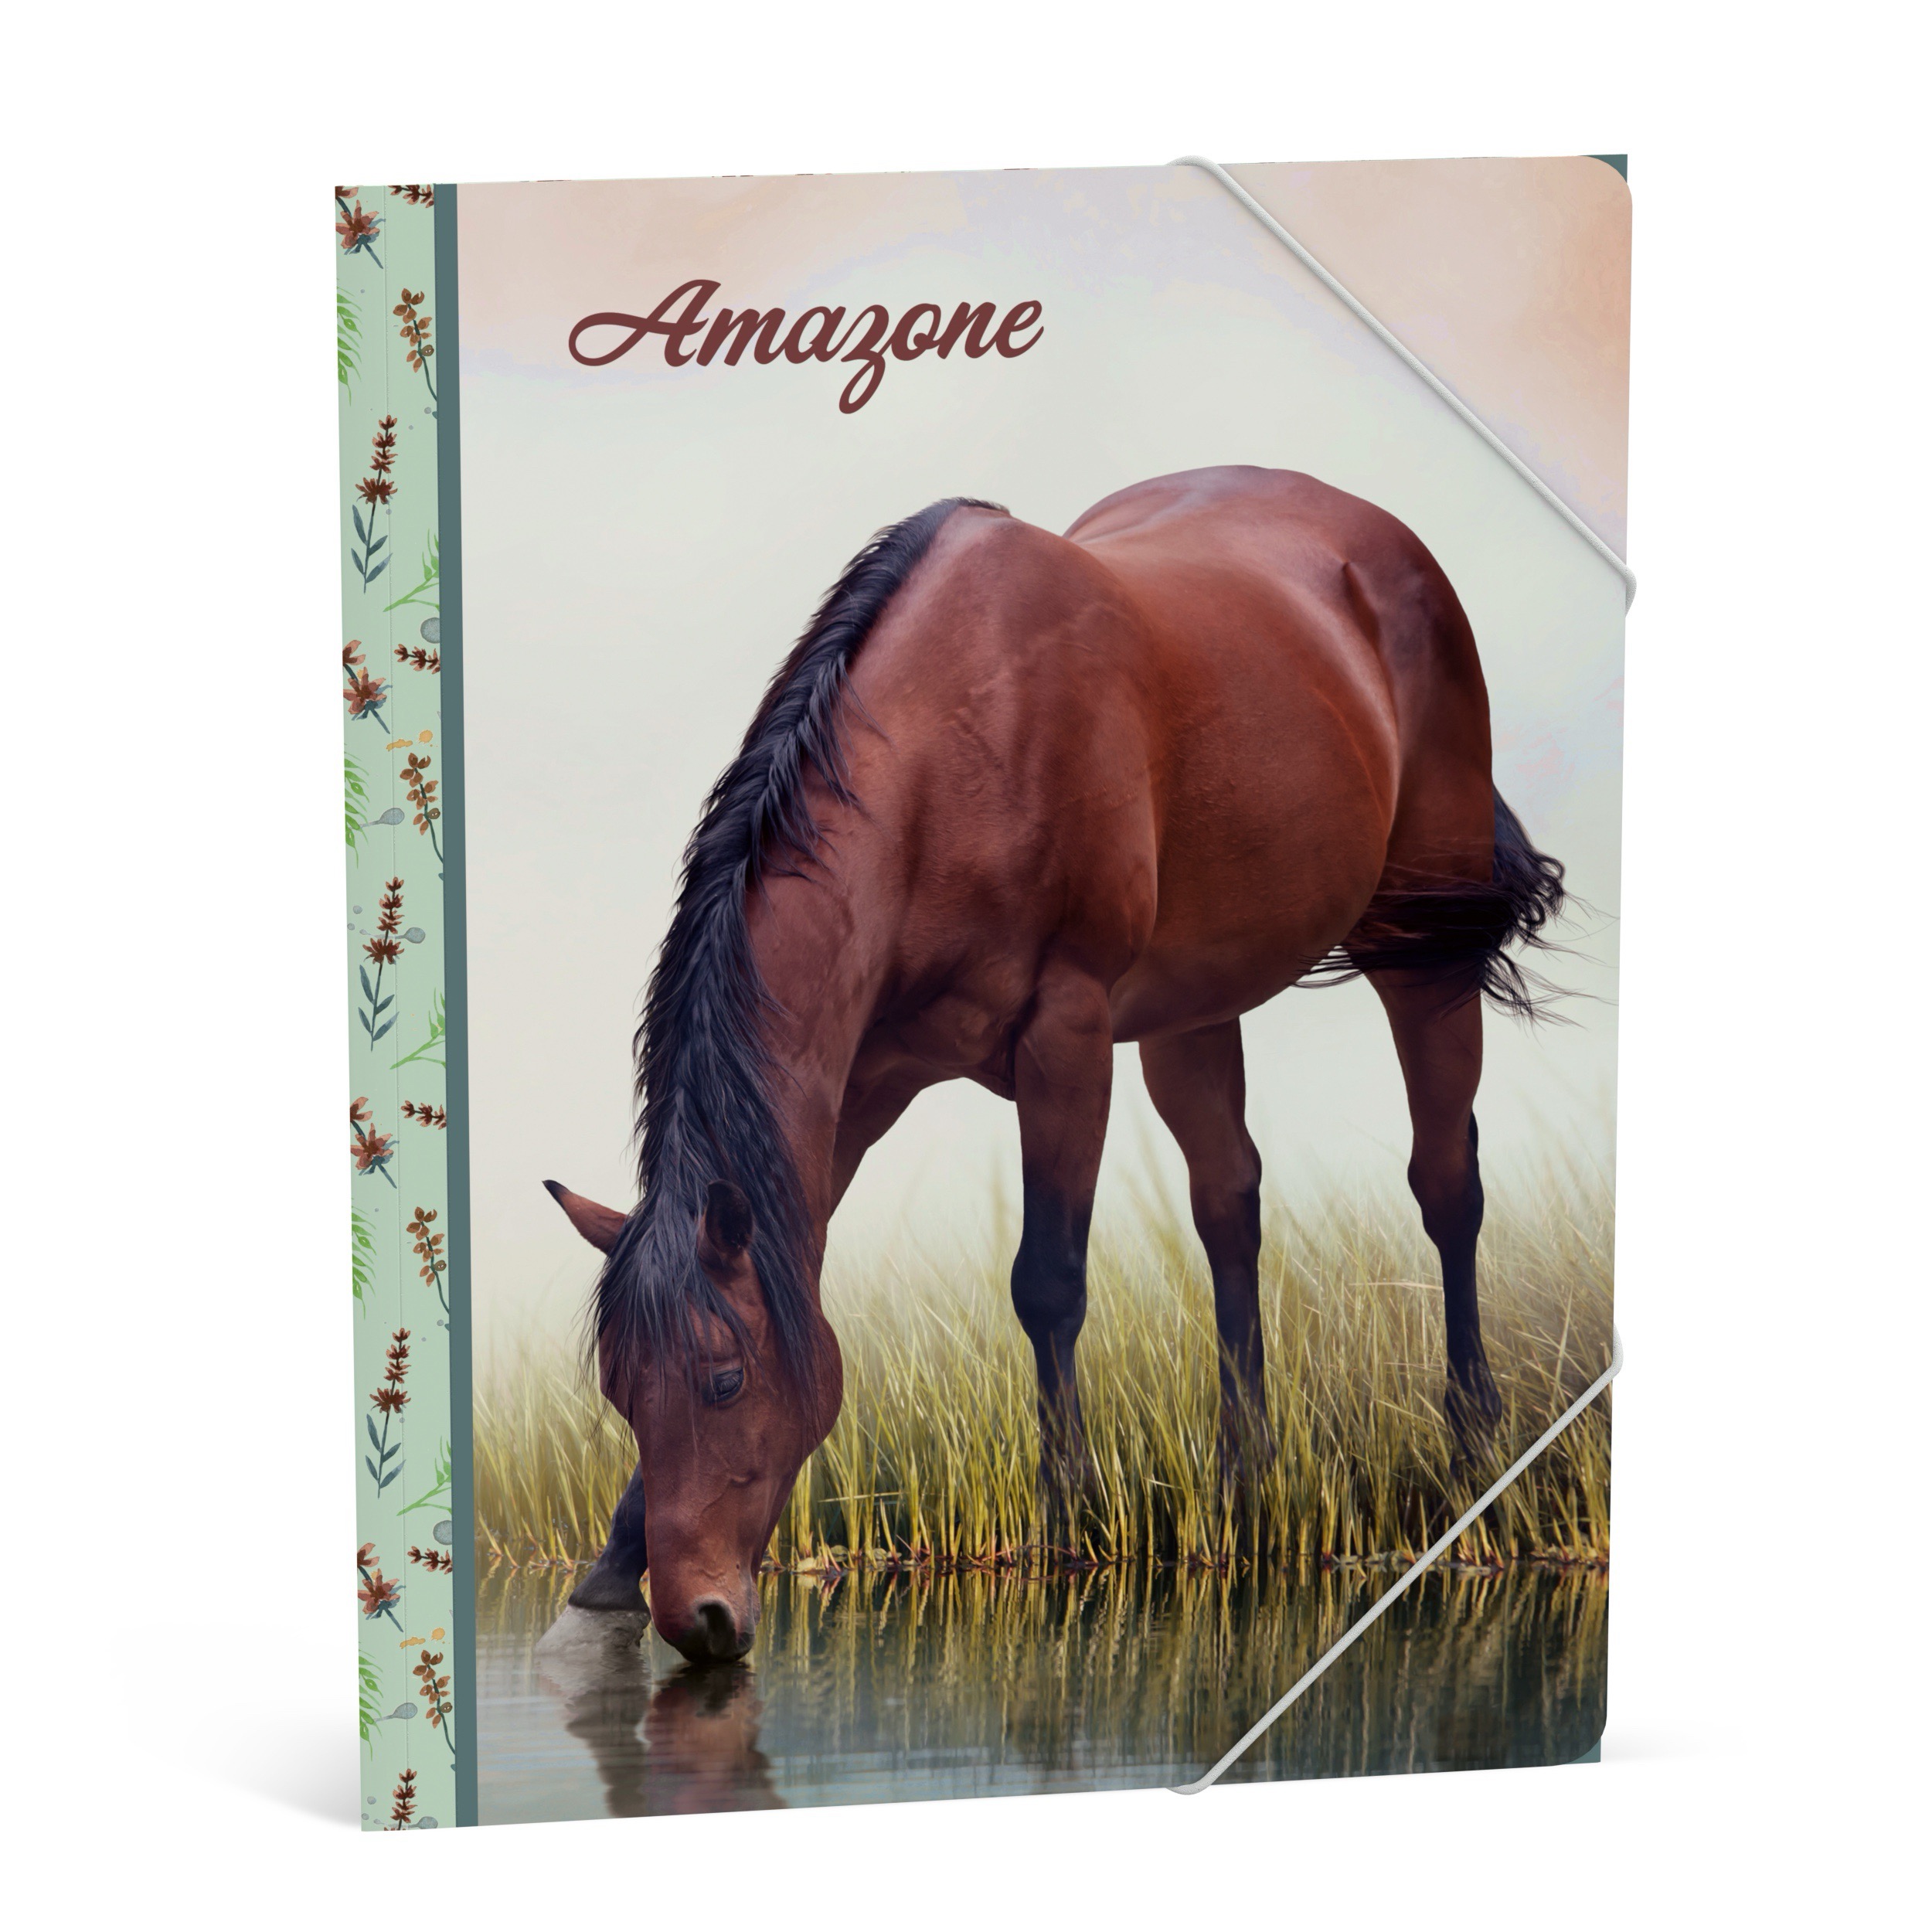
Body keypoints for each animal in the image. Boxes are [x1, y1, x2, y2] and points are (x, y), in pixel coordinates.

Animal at [543, 464, 1565, 1663]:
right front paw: (609, 1566)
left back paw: (1472, 1445)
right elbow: (796, 1251)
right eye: (622, 1389)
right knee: (1231, 1204)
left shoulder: (1066, 1039)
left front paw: (1066, 1526)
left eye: (724, 1378)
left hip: (1421, 949)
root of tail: (1384, 539)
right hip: (1191, 1006)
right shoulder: (859, 1080)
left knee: (1446, 1181)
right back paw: (1245, 1478)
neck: (954, 750)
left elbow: (1048, 1282)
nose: (697, 1620)